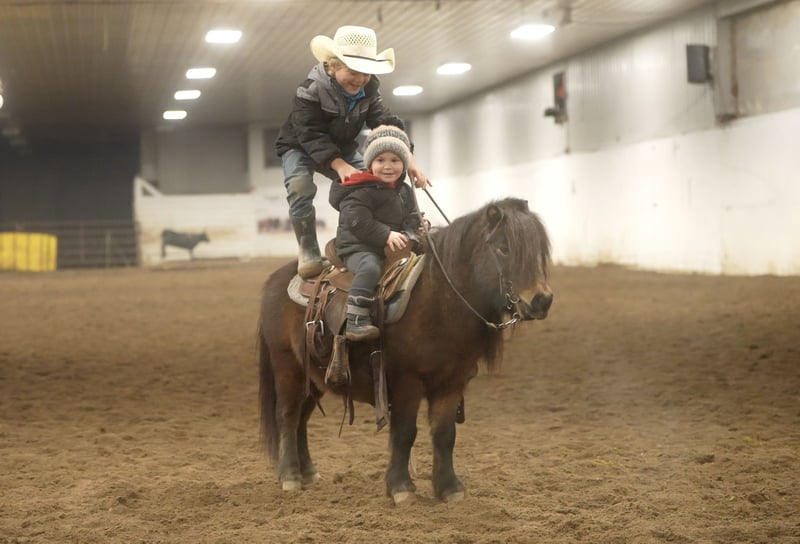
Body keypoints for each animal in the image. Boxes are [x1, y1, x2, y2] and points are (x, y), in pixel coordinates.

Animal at [257, 197, 553, 505]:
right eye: (503, 247)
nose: (542, 300)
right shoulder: (407, 382)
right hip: (287, 367)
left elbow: (445, 434)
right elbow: (405, 433)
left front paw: (449, 488)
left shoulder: (452, 382)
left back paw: (309, 472)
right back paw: (290, 476)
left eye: (538, 249)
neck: (437, 301)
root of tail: (276, 279)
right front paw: (401, 487)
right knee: (288, 415)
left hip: (313, 376)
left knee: (302, 418)